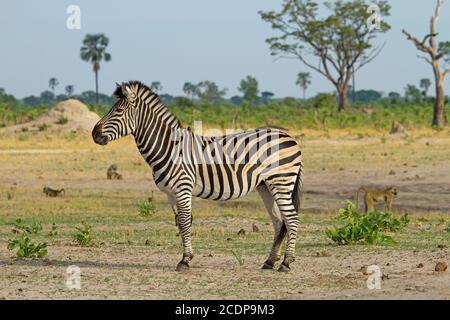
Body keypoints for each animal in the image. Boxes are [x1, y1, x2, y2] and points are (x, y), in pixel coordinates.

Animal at [92, 80, 304, 272]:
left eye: (118, 111)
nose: (94, 133)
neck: (169, 148)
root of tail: (288, 136)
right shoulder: (170, 194)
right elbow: (180, 223)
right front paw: (186, 257)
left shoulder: (183, 188)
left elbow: (185, 223)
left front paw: (185, 261)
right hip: (265, 185)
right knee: (279, 222)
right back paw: (269, 262)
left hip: (281, 181)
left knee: (292, 219)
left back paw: (285, 263)